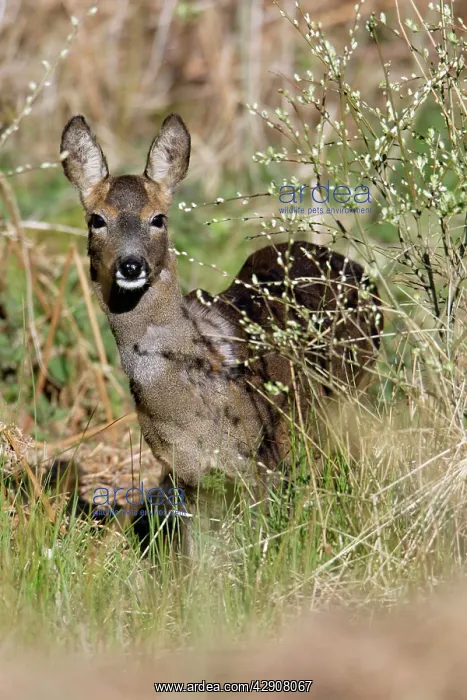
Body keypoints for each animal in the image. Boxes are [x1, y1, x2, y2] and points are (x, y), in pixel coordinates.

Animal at [60, 113, 383, 550]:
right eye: (97, 219)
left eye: (158, 218)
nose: (131, 265)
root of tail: (361, 273)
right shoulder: (186, 473)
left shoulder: (261, 460)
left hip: (351, 393)